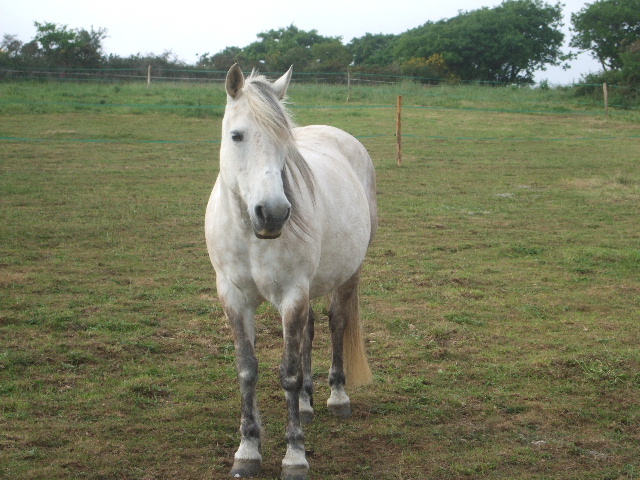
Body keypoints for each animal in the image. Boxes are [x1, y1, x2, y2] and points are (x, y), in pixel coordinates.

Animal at [205, 64, 378, 480]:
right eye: (236, 135)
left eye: (285, 142)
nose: (272, 213)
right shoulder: (233, 297)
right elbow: (248, 369)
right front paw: (247, 450)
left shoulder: (291, 295)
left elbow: (289, 372)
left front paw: (295, 456)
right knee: (310, 331)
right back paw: (305, 403)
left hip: (349, 274)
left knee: (336, 321)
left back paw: (336, 397)